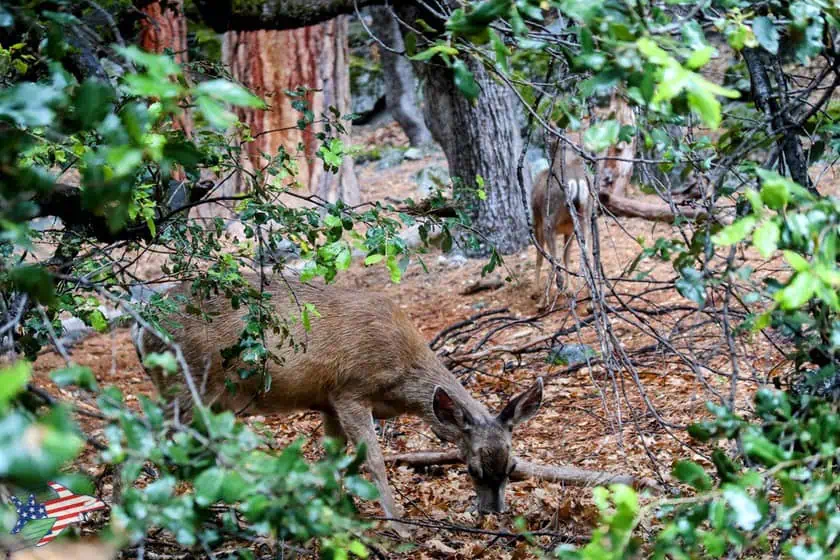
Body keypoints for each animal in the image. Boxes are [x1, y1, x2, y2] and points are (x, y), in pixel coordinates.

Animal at [132, 274, 544, 535]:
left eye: (512, 466)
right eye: (472, 469)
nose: (492, 513)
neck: (400, 379)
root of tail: (140, 327)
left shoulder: (328, 403)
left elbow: (333, 461)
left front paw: (328, 512)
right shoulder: (350, 392)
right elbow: (373, 461)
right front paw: (400, 526)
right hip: (184, 380)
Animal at [532, 130, 593, 308]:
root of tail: (576, 182)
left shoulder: (536, 220)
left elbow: (540, 256)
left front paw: (536, 291)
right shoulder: (568, 230)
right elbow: (567, 256)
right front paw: (570, 289)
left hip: (549, 220)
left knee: (554, 257)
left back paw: (542, 302)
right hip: (584, 217)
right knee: (587, 254)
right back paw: (590, 302)